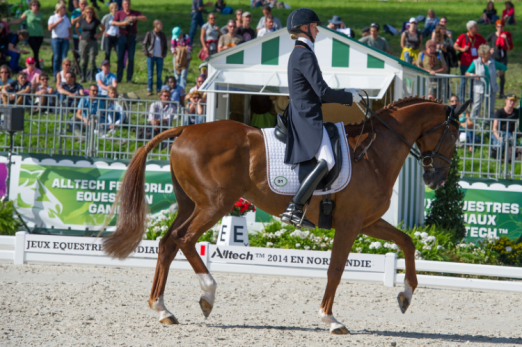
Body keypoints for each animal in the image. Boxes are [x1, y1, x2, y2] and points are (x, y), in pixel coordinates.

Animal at [101, 96, 468, 336]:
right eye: (452, 135)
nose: (437, 180)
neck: (374, 152)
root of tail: (186, 131)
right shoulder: (350, 224)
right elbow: (336, 269)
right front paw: (331, 319)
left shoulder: (368, 222)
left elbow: (407, 242)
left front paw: (406, 295)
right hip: (215, 204)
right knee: (184, 239)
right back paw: (207, 294)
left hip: (192, 204)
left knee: (167, 243)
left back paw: (163, 309)